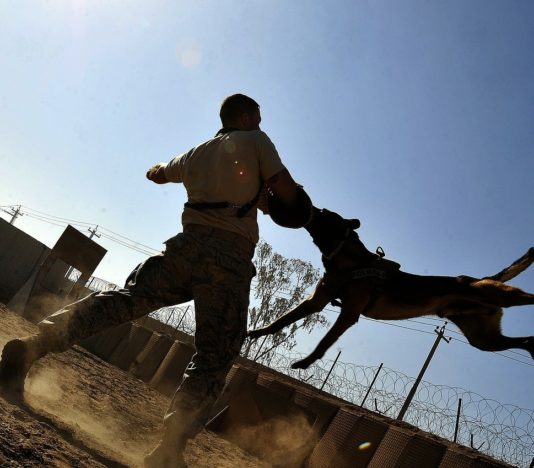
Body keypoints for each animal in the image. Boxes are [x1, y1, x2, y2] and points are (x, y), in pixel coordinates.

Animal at [250, 208, 534, 370]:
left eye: (323, 214)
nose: (308, 205)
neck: (352, 261)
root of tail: (480, 278)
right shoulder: (315, 302)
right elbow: (280, 321)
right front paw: (255, 332)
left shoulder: (349, 313)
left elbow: (325, 341)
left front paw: (306, 363)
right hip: (483, 339)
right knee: (525, 341)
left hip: (498, 296)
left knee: (529, 300)